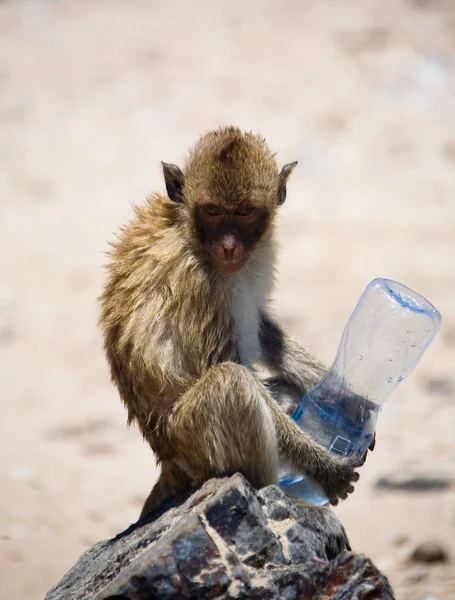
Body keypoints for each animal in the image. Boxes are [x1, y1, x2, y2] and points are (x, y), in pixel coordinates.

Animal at [100, 124, 364, 516]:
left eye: (244, 213)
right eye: (211, 211)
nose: (227, 246)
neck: (190, 234)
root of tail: (168, 462)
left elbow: (261, 327)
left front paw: (342, 393)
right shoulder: (200, 284)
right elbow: (227, 364)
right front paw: (322, 467)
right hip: (192, 444)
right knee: (232, 381)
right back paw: (271, 488)